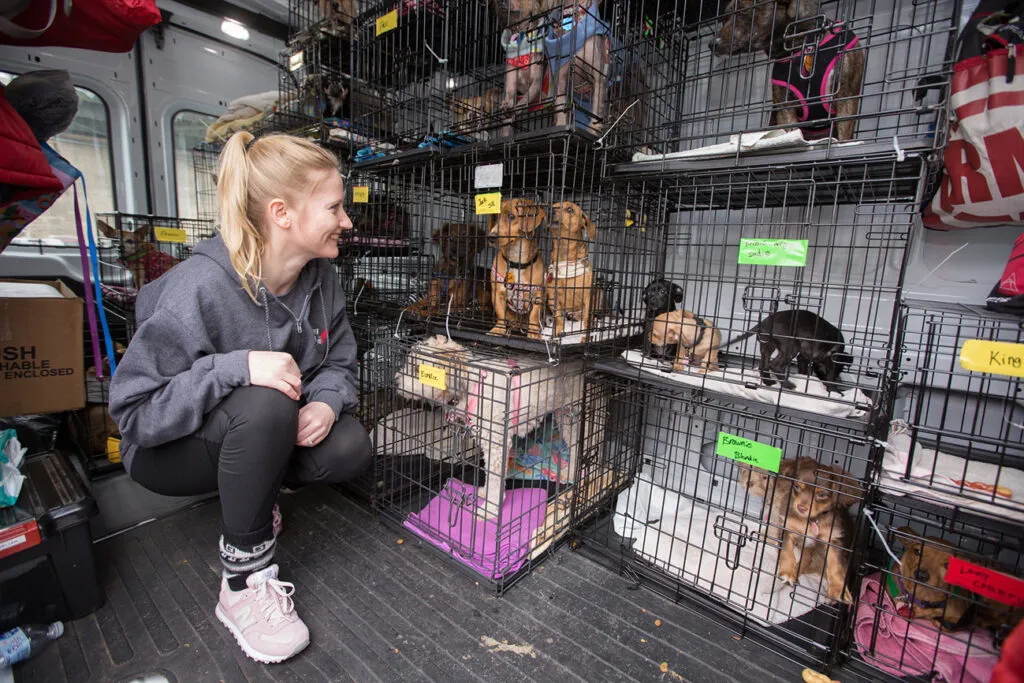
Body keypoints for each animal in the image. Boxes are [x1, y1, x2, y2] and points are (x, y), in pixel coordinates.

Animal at [485, 197, 544, 339]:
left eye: (511, 216)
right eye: (494, 217)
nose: (491, 237)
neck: (516, 261)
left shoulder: (537, 294)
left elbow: (534, 316)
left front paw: (534, 332)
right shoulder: (498, 293)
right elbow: (501, 314)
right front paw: (498, 329)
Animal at [548, 201, 598, 342]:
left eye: (570, 209)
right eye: (553, 206)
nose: (550, 211)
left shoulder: (588, 297)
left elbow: (587, 320)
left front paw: (585, 337)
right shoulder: (553, 297)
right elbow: (558, 318)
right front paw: (557, 332)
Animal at [712, 0, 864, 141]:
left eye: (744, 11)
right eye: (724, 19)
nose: (712, 44)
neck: (805, 45)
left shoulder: (847, 99)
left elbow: (844, 137)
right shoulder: (786, 109)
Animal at [716, 309, 851, 395]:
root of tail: (764, 322)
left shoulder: (803, 358)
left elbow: (804, 370)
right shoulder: (833, 361)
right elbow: (831, 377)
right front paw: (835, 391)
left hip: (767, 345)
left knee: (763, 365)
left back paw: (769, 382)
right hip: (790, 346)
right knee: (774, 365)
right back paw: (788, 385)